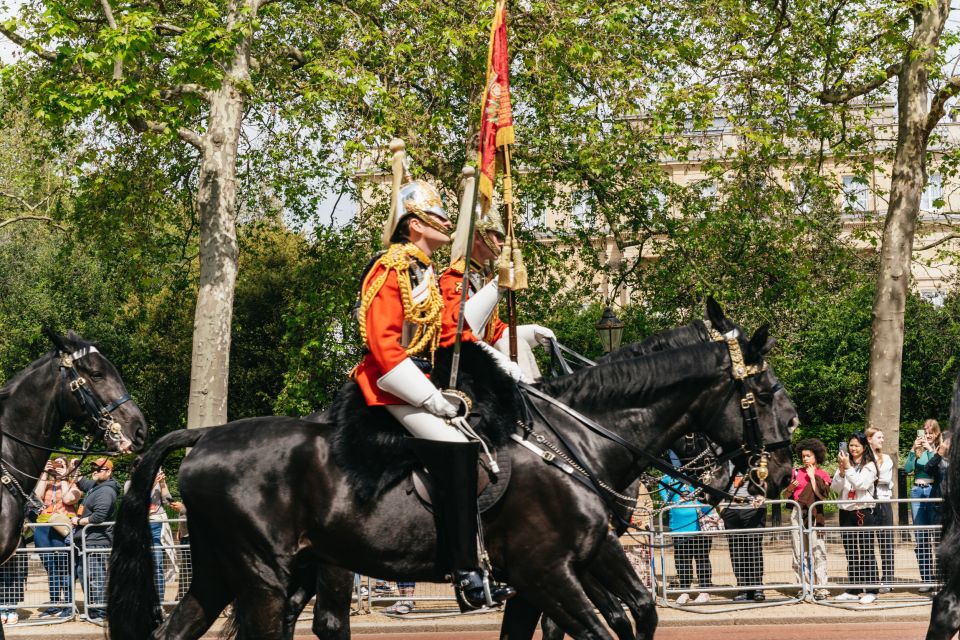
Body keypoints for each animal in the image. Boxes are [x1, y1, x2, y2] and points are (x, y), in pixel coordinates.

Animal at [109, 316, 792, 640]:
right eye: (767, 394)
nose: (781, 474)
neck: (577, 442)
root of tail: (205, 436)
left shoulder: (583, 557)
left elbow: (640, 613)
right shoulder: (545, 572)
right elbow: (600, 628)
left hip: (227, 571)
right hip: (264, 577)